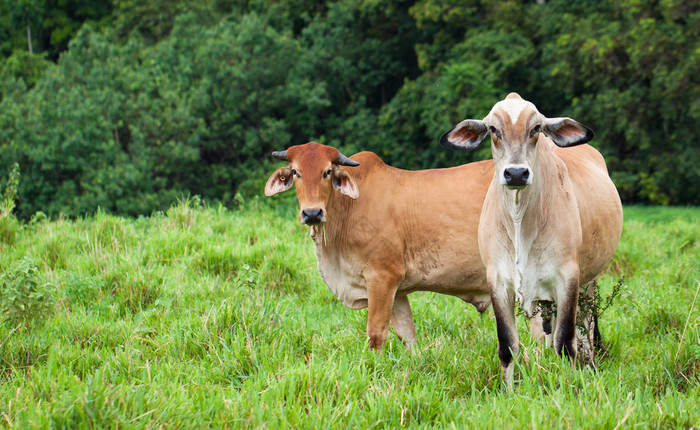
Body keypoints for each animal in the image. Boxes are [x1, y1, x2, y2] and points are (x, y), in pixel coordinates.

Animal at [264, 141, 492, 350]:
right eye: (295, 172)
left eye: (327, 171)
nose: (312, 213)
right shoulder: (398, 290)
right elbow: (407, 334)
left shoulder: (382, 277)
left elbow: (376, 334)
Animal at [440, 93, 620, 386]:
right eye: (493, 129)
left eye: (536, 128)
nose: (515, 173)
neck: (519, 222)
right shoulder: (498, 282)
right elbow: (508, 344)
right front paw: (507, 390)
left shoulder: (568, 277)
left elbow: (565, 342)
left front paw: (568, 386)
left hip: (589, 281)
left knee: (586, 327)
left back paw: (590, 362)